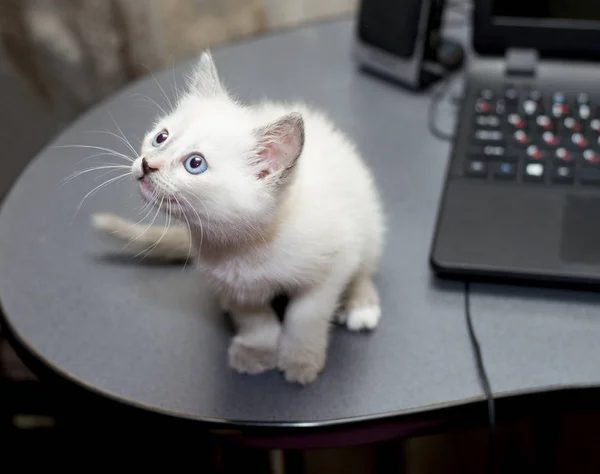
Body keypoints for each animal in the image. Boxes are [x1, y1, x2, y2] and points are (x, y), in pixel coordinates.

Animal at [94, 51, 384, 386]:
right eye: (160, 138)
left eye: (195, 164)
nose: (146, 163)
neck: (244, 246)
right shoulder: (233, 285)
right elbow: (255, 320)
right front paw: (255, 352)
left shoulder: (334, 264)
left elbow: (306, 316)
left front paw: (300, 360)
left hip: (368, 220)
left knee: (365, 267)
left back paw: (361, 305)